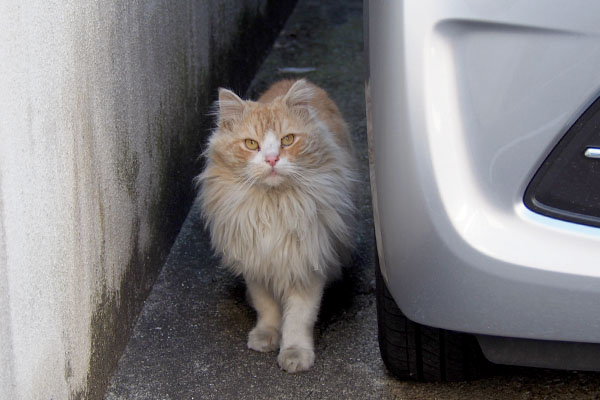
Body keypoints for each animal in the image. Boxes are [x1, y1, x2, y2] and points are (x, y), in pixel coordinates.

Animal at [197, 79, 356, 374]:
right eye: (251, 144)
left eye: (287, 140)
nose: (272, 160)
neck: (273, 207)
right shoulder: (257, 262)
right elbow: (267, 307)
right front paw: (266, 336)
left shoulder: (307, 263)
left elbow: (298, 318)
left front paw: (295, 355)